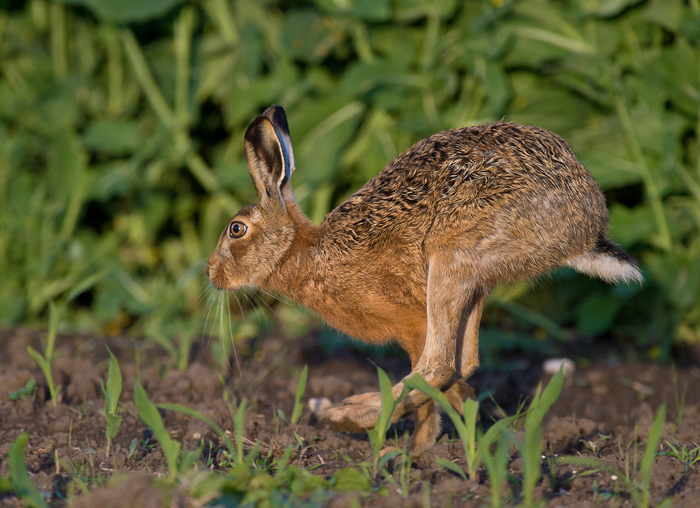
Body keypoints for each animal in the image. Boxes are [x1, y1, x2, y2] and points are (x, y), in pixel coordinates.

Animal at [207, 105, 642, 458]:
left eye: (236, 230)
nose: (212, 273)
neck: (305, 251)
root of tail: (584, 227)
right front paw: (451, 435)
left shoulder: (413, 322)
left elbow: (428, 377)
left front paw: (414, 449)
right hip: (474, 280)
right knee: (464, 361)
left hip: (451, 257)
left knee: (440, 366)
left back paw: (345, 415)